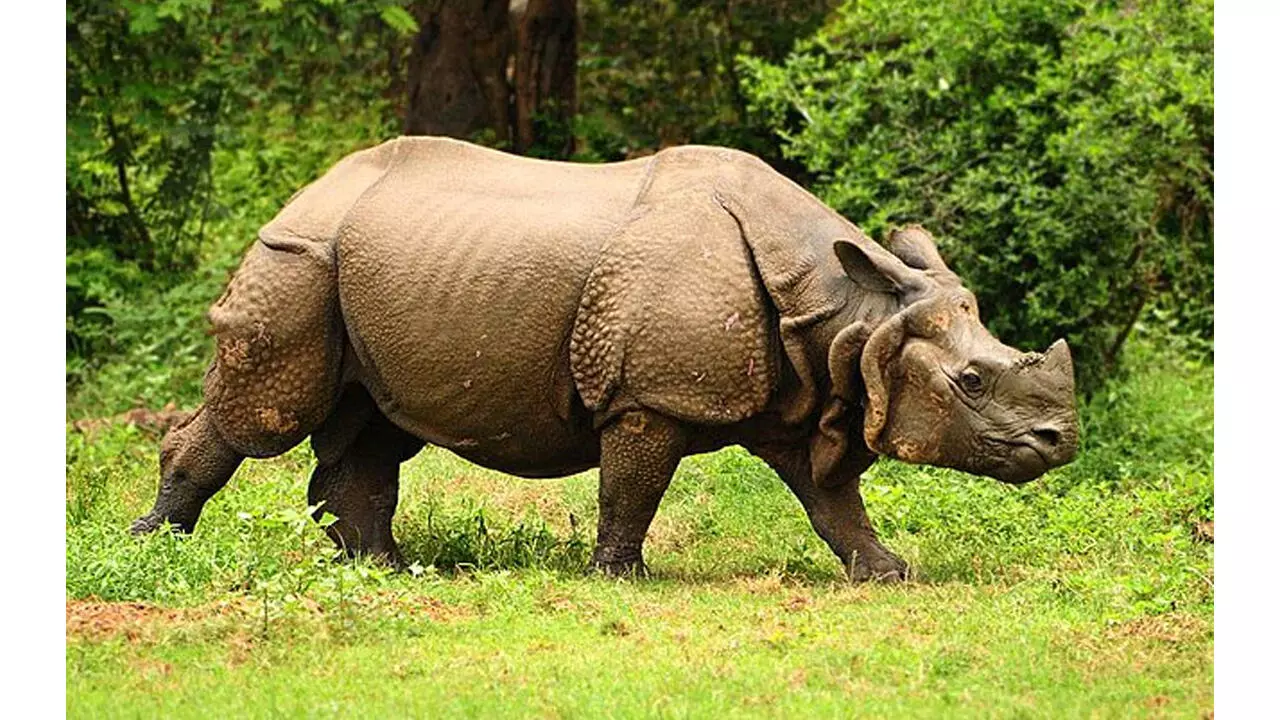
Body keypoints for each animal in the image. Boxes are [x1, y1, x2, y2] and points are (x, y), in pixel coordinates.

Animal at [131, 137, 1079, 581]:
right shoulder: (649, 395)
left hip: (367, 266)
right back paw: (157, 546)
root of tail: (310, 189)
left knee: (372, 424)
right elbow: (633, 488)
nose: (1062, 441)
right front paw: (623, 577)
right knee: (264, 414)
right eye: (972, 381)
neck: (849, 314)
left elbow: (832, 501)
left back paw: (386, 570)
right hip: (297, 257)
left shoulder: (804, 393)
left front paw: (890, 574)